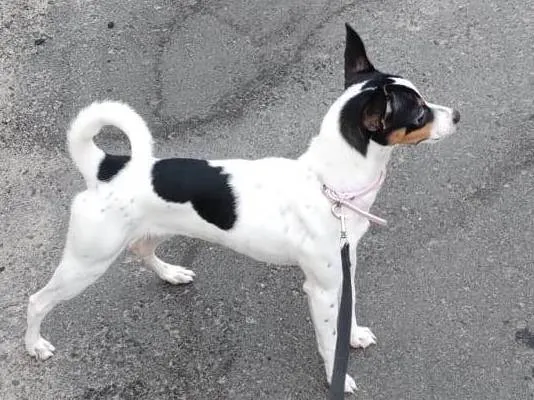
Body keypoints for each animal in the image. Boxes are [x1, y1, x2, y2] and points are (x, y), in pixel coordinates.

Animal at [25, 23, 460, 392]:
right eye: (419, 112)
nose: (457, 115)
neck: (330, 183)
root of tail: (106, 166)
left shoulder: (344, 267)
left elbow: (347, 314)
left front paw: (352, 337)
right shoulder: (320, 289)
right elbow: (327, 337)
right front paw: (337, 375)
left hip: (151, 231)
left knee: (142, 250)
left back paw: (171, 273)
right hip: (86, 263)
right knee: (38, 301)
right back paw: (34, 345)